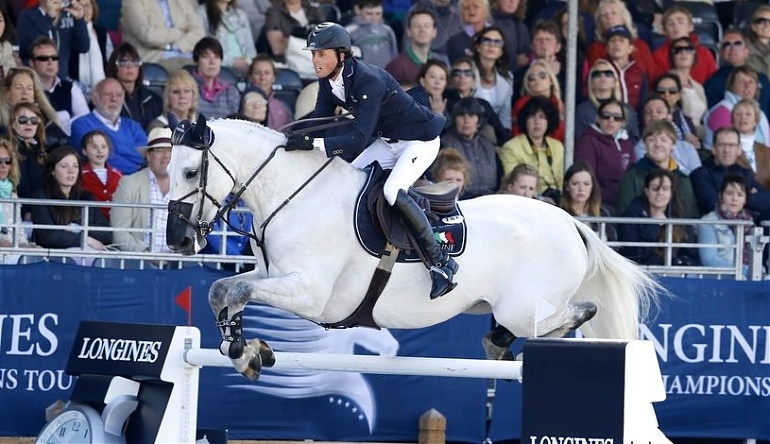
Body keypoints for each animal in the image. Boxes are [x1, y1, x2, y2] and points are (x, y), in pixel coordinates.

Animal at [165, 117, 656, 378]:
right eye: (167, 170)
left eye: (190, 172)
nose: (178, 240)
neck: (295, 193)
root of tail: (572, 223)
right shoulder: (272, 277)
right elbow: (223, 291)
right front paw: (245, 350)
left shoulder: (309, 294)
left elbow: (236, 291)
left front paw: (245, 351)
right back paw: (500, 347)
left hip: (526, 306)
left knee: (579, 312)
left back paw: (510, 346)